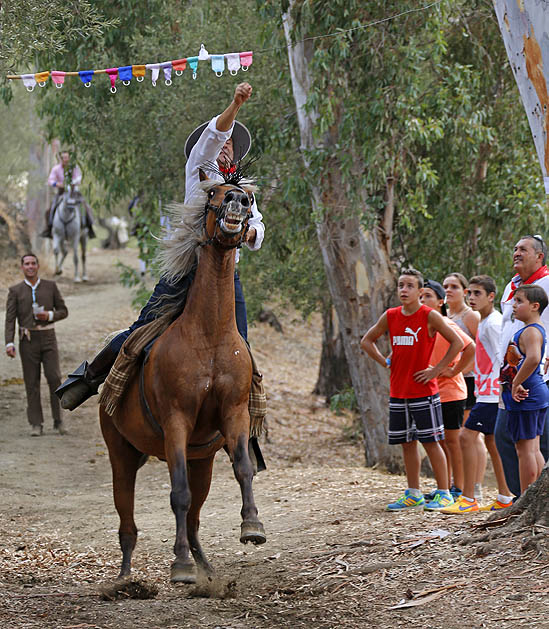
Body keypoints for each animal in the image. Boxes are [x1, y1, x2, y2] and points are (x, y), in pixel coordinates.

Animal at [101, 175, 268, 584]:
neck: (207, 336)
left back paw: (204, 567)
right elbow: (177, 493)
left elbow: (243, 468)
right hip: (121, 454)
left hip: (202, 462)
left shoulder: (235, 413)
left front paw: (252, 526)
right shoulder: (176, 420)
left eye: (250, 197)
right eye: (213, 194)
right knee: (127, 521)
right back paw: (125, 580)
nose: (238, 201)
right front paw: (179, 566)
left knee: (193, 519)